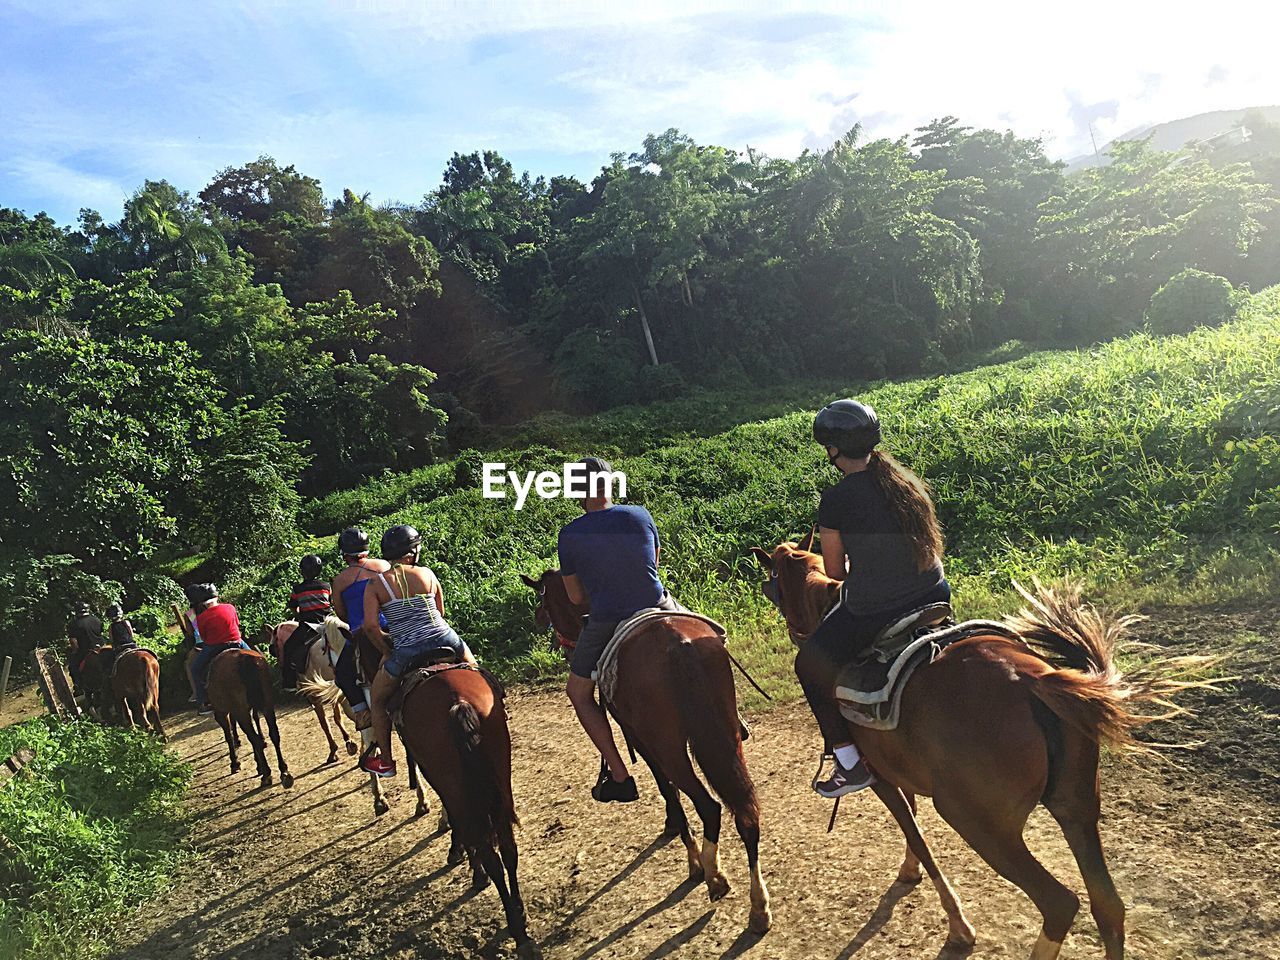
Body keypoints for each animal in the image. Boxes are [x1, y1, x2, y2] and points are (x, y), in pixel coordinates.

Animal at [206, 647, 293, 788]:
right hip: (267, 705)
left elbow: (229, 736)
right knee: (274, 734)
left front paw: (235, 763)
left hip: (240, 710)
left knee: (255, 739)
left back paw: (267, 775)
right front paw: (258, 765)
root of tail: (245, 659)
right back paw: (284, 772)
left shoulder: (221, 713)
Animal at [519, 570, 768, 942]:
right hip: (725, 737)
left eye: (546, 603)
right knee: (746, 813)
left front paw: (691, 860)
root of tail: (681, 645)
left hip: (668, 747)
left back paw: (712, 874)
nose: (559, 644)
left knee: (708, 806)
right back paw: (759, 907)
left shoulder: (641, 740)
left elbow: (669, 793)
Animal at [747, 535, 1198, 960]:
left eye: (772, 579)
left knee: (1059, 903)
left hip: (980, 824)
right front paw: (909, 870)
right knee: (1108, 906)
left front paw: (958, 925)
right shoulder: (900, 772)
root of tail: (1031, 680)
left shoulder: (879, 780)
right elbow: (913, 823)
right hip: (1077, 810)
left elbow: (917, 835)